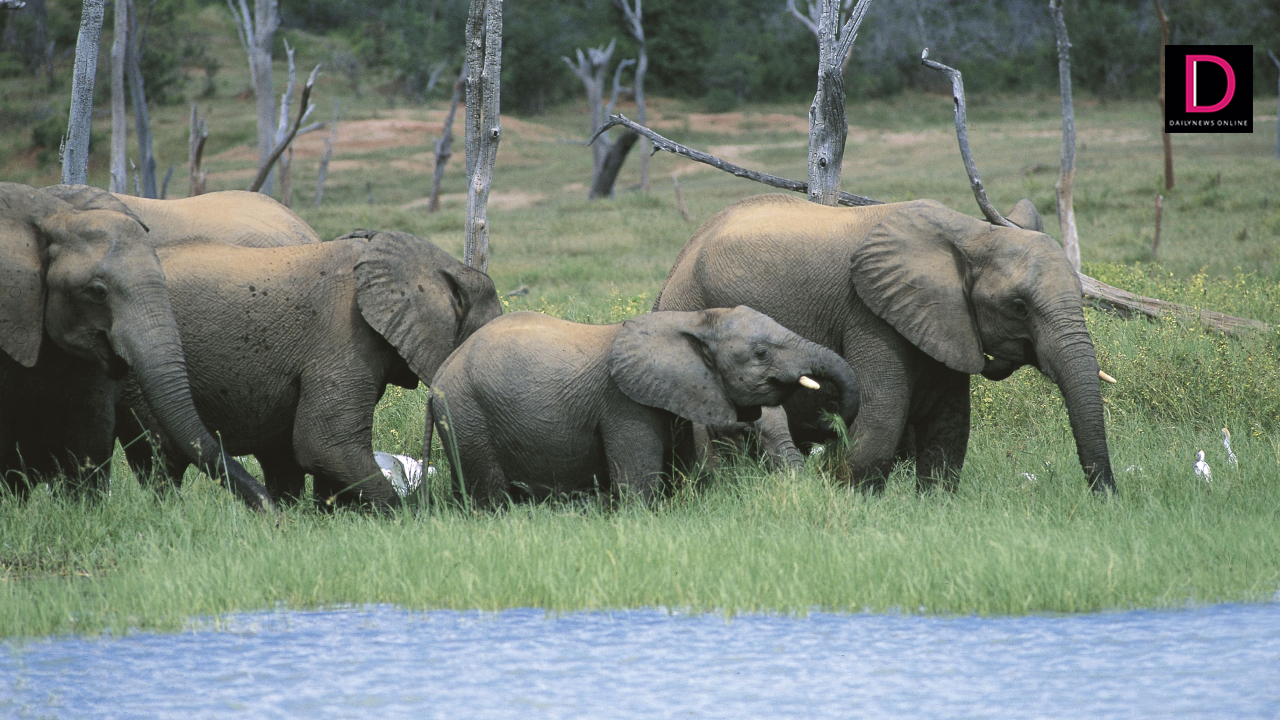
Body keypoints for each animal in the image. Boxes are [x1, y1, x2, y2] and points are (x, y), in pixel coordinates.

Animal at [425, 306, 860, 507]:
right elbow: (638, 488)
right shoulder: (624, 403)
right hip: (467, 413)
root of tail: (438, 377)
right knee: (489, 496)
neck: (692, 321)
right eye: (761, 353)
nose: (832, 420)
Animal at [655, 193, 1114, 492]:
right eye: (1019, 307)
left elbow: (949, 430)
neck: (969, 233)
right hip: (690, 304)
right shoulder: (869, 313)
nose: (1107, 498)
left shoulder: (943, 321)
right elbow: (881, 422)